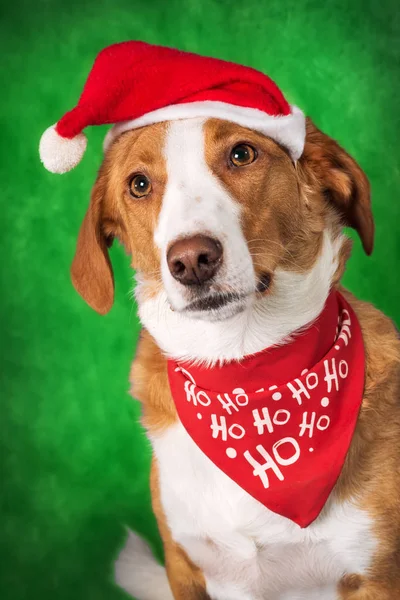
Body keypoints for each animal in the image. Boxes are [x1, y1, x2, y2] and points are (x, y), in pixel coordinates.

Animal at [39, 42, 400, 600]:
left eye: (242, 154)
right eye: (139, 184)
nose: (191, 260)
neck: (243, 366)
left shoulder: (377, 575)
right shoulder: (186, 566)